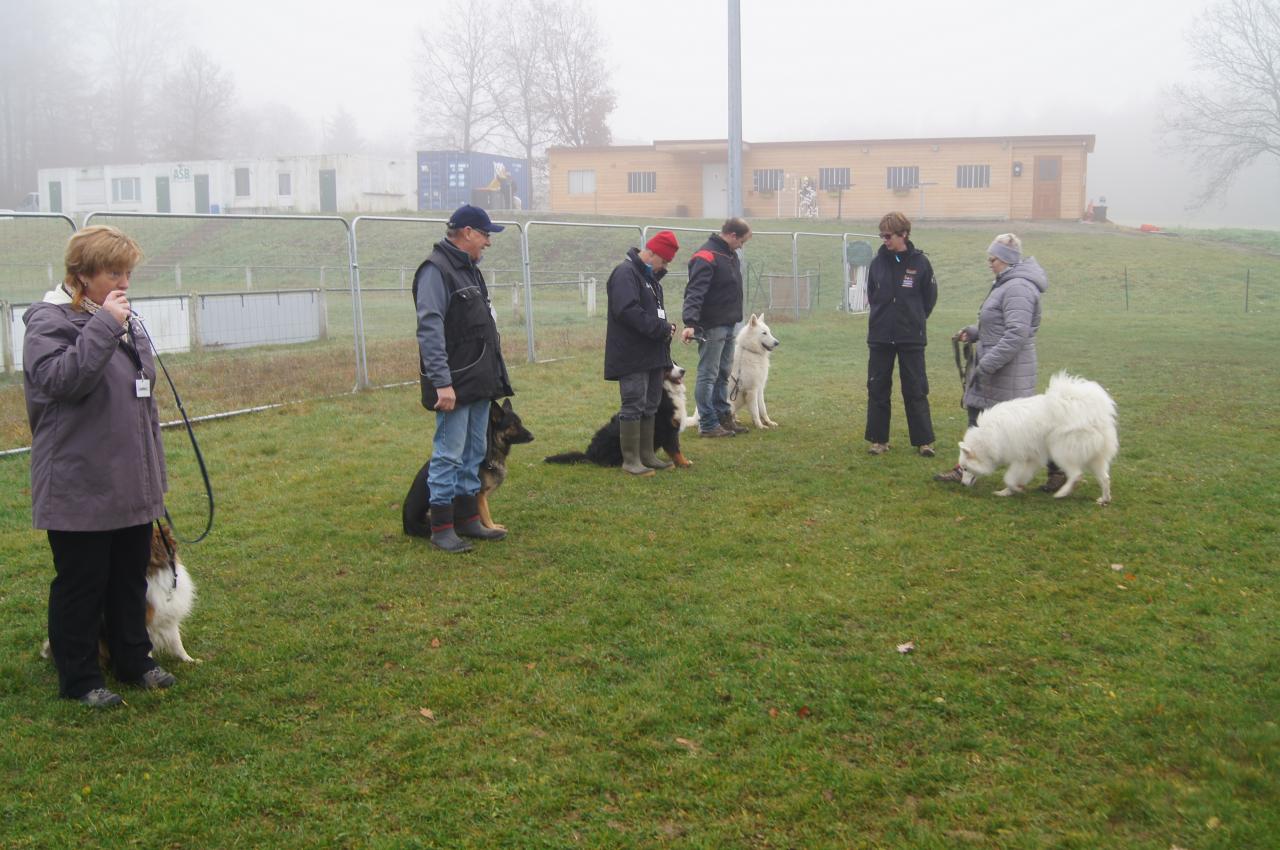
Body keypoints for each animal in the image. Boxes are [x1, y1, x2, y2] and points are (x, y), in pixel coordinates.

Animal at [404, 399, 535, 537]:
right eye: (513, 425)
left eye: (520, 423)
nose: (532, 436)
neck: (490, 449)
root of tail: (406, 526)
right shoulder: (479, 495)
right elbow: (486, 515)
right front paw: (492, 529)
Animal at [545, 366, 696, 471]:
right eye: (669, 366)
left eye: (675, 364)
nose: (683, 370)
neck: (667, 390)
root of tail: (589, 454)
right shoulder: (668, 430)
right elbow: (675, 450)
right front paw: (684, 463)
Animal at [957, 371, 1116, 504]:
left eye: (965, 469)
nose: (962, 485)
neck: (987, 437)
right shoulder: (1032, 459)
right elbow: (1017, 479)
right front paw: (1008, 491)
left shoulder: (1020, 458)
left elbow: (1008, 478)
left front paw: (1013, 489)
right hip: (1094, 457)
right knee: (1105, 478)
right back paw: (1104, 499)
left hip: (1060, 451)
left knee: (1077, 474)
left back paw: (1062, 493)